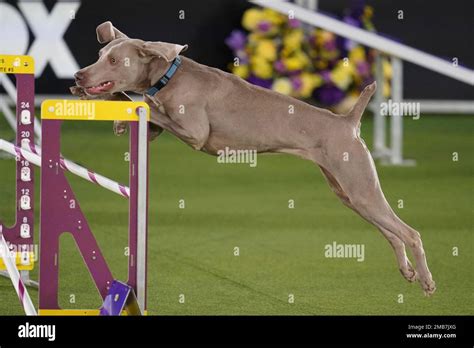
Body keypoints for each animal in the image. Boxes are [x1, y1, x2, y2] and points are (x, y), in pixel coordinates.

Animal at [72, 21, 436, 294]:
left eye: (115, 61)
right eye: (100, 55)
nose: (78, 76)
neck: (170, 74)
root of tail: (347, 121)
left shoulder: (195, 131)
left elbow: (148, 103)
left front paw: (118, 104)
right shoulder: (160, 130)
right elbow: (146, 114)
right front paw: (116, 116)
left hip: (359, 185)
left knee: (410, 233)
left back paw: (427, 281)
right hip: (349, 192)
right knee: (391, 232)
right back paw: (408, 272)